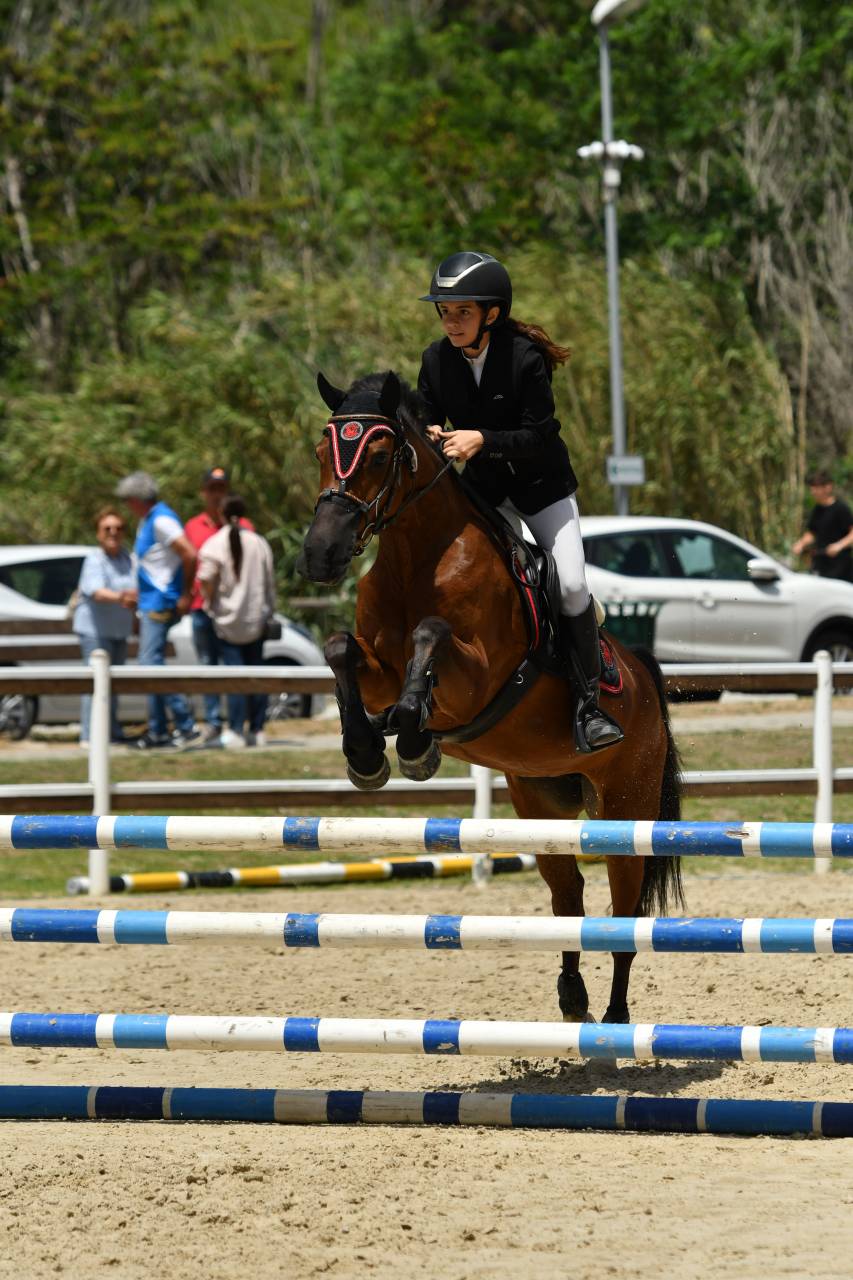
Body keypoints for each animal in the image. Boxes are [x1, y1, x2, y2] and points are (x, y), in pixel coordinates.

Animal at [298, 370, 683, 1024]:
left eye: (377, 455)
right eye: (323, 452)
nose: (320, 554)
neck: (416, 558)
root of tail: (642, 675)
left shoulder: (477, 678)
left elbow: (430, 639)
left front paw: (415, 740)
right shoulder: (377, 666)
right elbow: (338, 647)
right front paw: (366, 751)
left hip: (625, 809)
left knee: (625, 915)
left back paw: (613, 1022)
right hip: (541, 805)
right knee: (568, 901)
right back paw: (573, 1000)